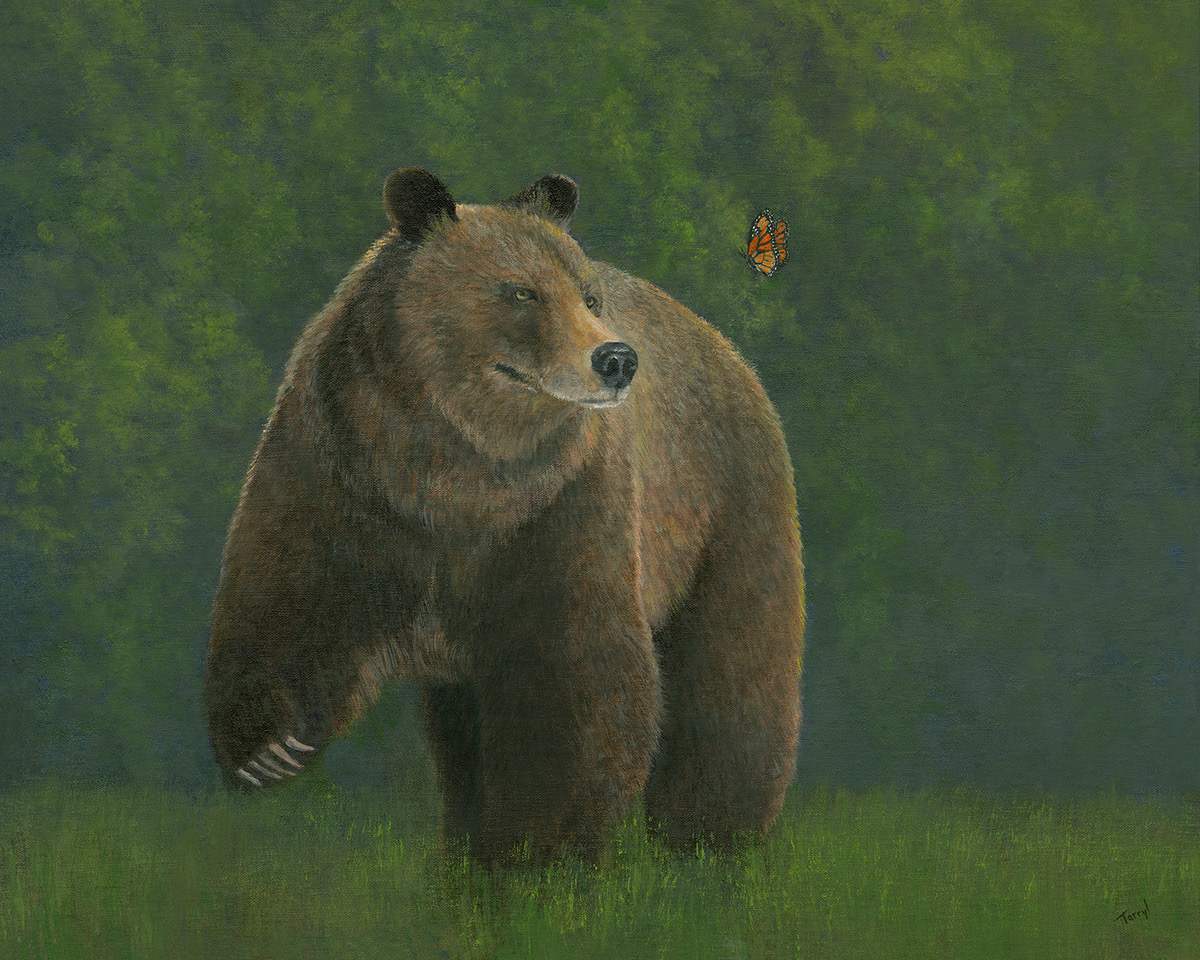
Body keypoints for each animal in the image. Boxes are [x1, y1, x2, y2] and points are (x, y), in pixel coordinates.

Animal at [204, 168, 805, 865]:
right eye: (521, 291)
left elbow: (573, 672)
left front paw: (538, 847)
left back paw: (709, 836)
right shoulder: (341, 470)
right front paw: (268, 749)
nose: (616, 360)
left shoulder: (560, 506)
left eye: (589, 295)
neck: (456, 464)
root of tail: (728, 352)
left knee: (734, 665)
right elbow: (287, 587)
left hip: (722, 500)